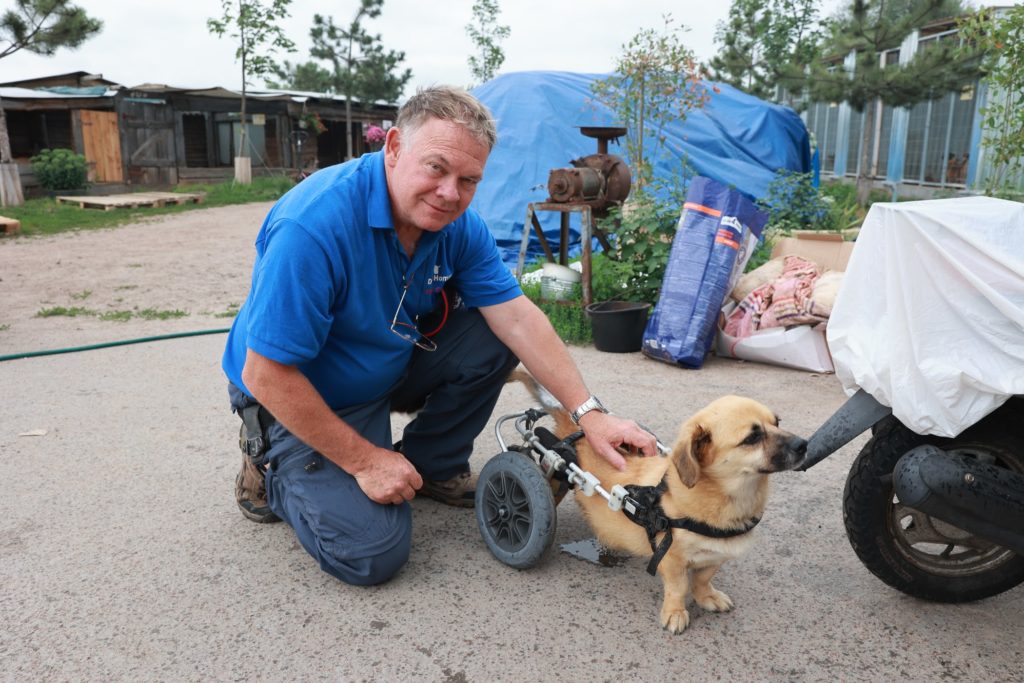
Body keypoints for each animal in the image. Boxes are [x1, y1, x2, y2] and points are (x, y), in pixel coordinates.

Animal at [512, 374, 806, 634]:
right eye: (752, 438)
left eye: (777, 421)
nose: (804, 444)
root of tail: (578, 428)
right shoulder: (671, 559)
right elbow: (679, 588)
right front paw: (675, 613)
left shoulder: (715, 557)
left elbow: (702, 579)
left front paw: (706, 596)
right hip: (553, 478)